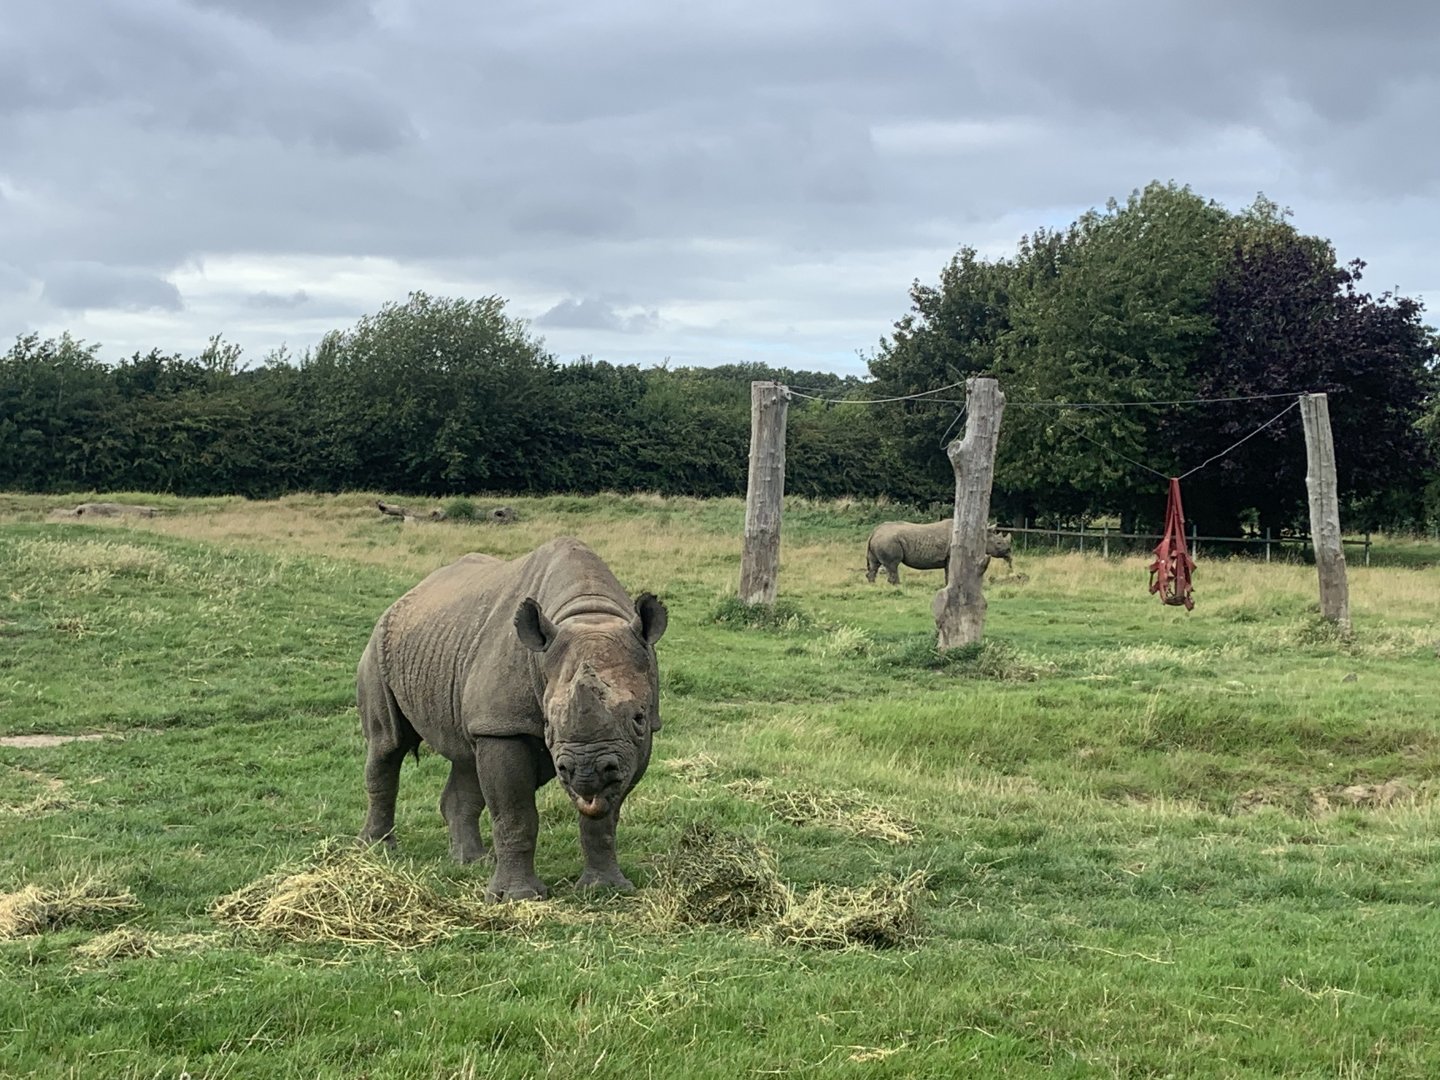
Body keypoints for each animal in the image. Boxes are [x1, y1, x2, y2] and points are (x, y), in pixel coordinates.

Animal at [356, 537, 667, 901]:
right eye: (547, 724)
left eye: (638, 718)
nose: (585, 771)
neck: (590, 614)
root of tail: (404, 597)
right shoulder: (504, 725)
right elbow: (515, 813)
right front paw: (518, 897)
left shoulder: (633, 746)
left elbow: (604, 818)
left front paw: (606, 889)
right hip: (377, 647)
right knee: (387, 745)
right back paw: (377, 850)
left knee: (466, 758)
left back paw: (472, 861)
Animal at [865, 520, 1013, 585]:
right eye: (999, 543)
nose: (1009, 551)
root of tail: (874, 532)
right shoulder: (950, 555)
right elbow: (949, 571)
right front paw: (948, 585)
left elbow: (948, 572)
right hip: (889, 540)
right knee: (892, 565)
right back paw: (897, 586)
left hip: (882, 539)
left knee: (874, 565)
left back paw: (873, 585)